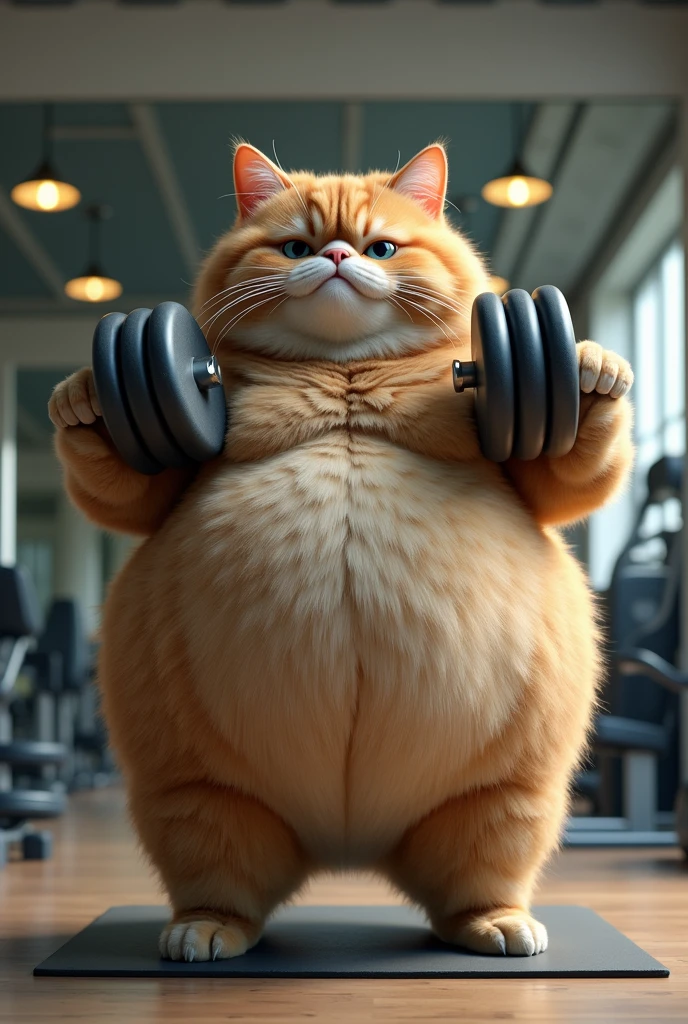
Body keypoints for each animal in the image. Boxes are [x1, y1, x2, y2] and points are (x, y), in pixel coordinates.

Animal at [49, 142, 634, 958]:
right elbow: (119, 497)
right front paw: (83, 400)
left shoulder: (533, 464)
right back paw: (208, 924)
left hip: (507, 799)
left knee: (480, 866)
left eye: (381, 248)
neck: (345, 375)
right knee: (220, 867)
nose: (333, 256)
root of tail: (351, 848)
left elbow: (575, 478)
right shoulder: (161, 474)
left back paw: (494, 920)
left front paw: (592, 370)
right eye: (294, 247)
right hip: (196, 798)